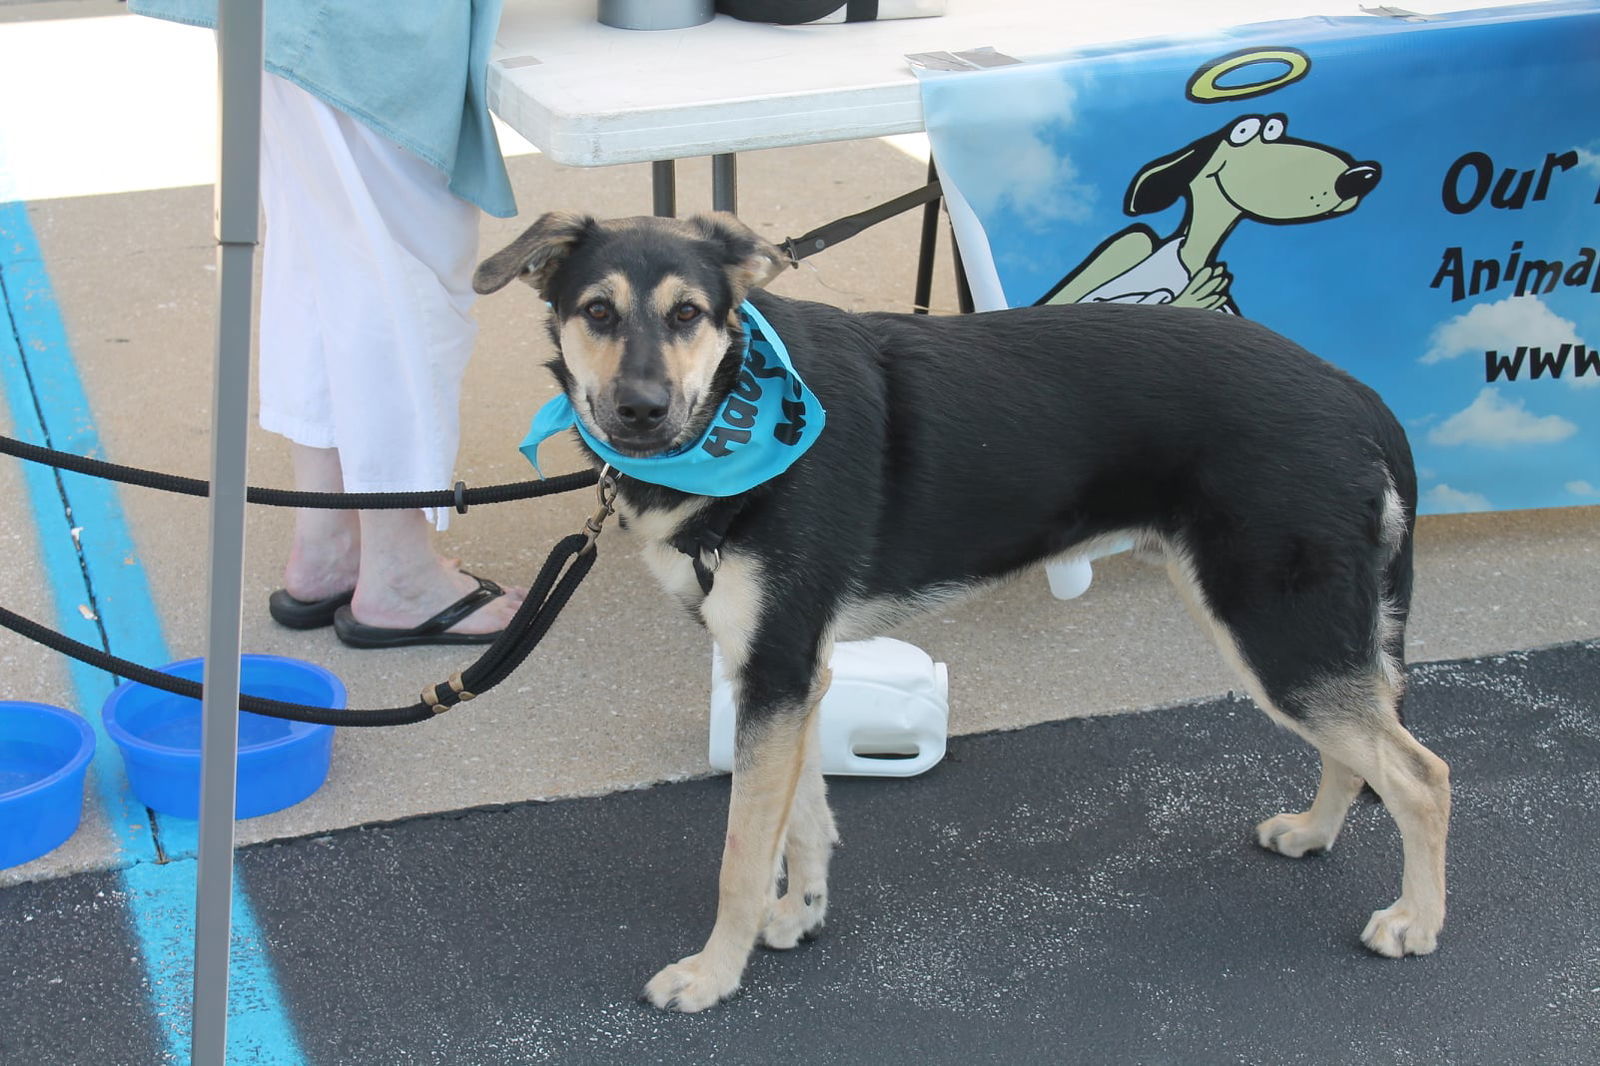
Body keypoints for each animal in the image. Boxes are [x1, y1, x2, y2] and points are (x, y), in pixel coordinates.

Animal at [470, 211, 1452, 1011]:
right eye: (597, 312)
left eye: (687, 315)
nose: (639, 411)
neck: (731, 411)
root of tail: (1356, 395)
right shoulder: (788, 674)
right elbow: (804, 816)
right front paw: (802, 915)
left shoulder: (775, 670)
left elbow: (742, 853)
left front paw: (714, 975)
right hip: (1289, 636)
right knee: (1361, 748)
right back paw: (1316, 834)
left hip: (1279, 633)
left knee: (1420, 774)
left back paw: (1416, 922)